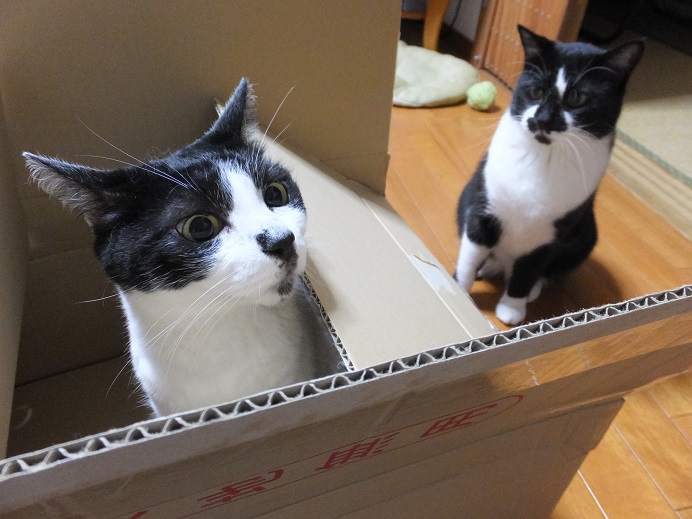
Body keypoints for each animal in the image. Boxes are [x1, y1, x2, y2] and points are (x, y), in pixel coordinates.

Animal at [455, 26, 644, 326]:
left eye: (577, 98)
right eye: (536, 90)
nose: (541, 120)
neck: (542, 157)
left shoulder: (551, 233)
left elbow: (529, 268)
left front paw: (512, 306)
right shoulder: (482, 209)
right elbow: (469, 256)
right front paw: (457, 292)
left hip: (586, 235)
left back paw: (531, 288)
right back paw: (489, 266)